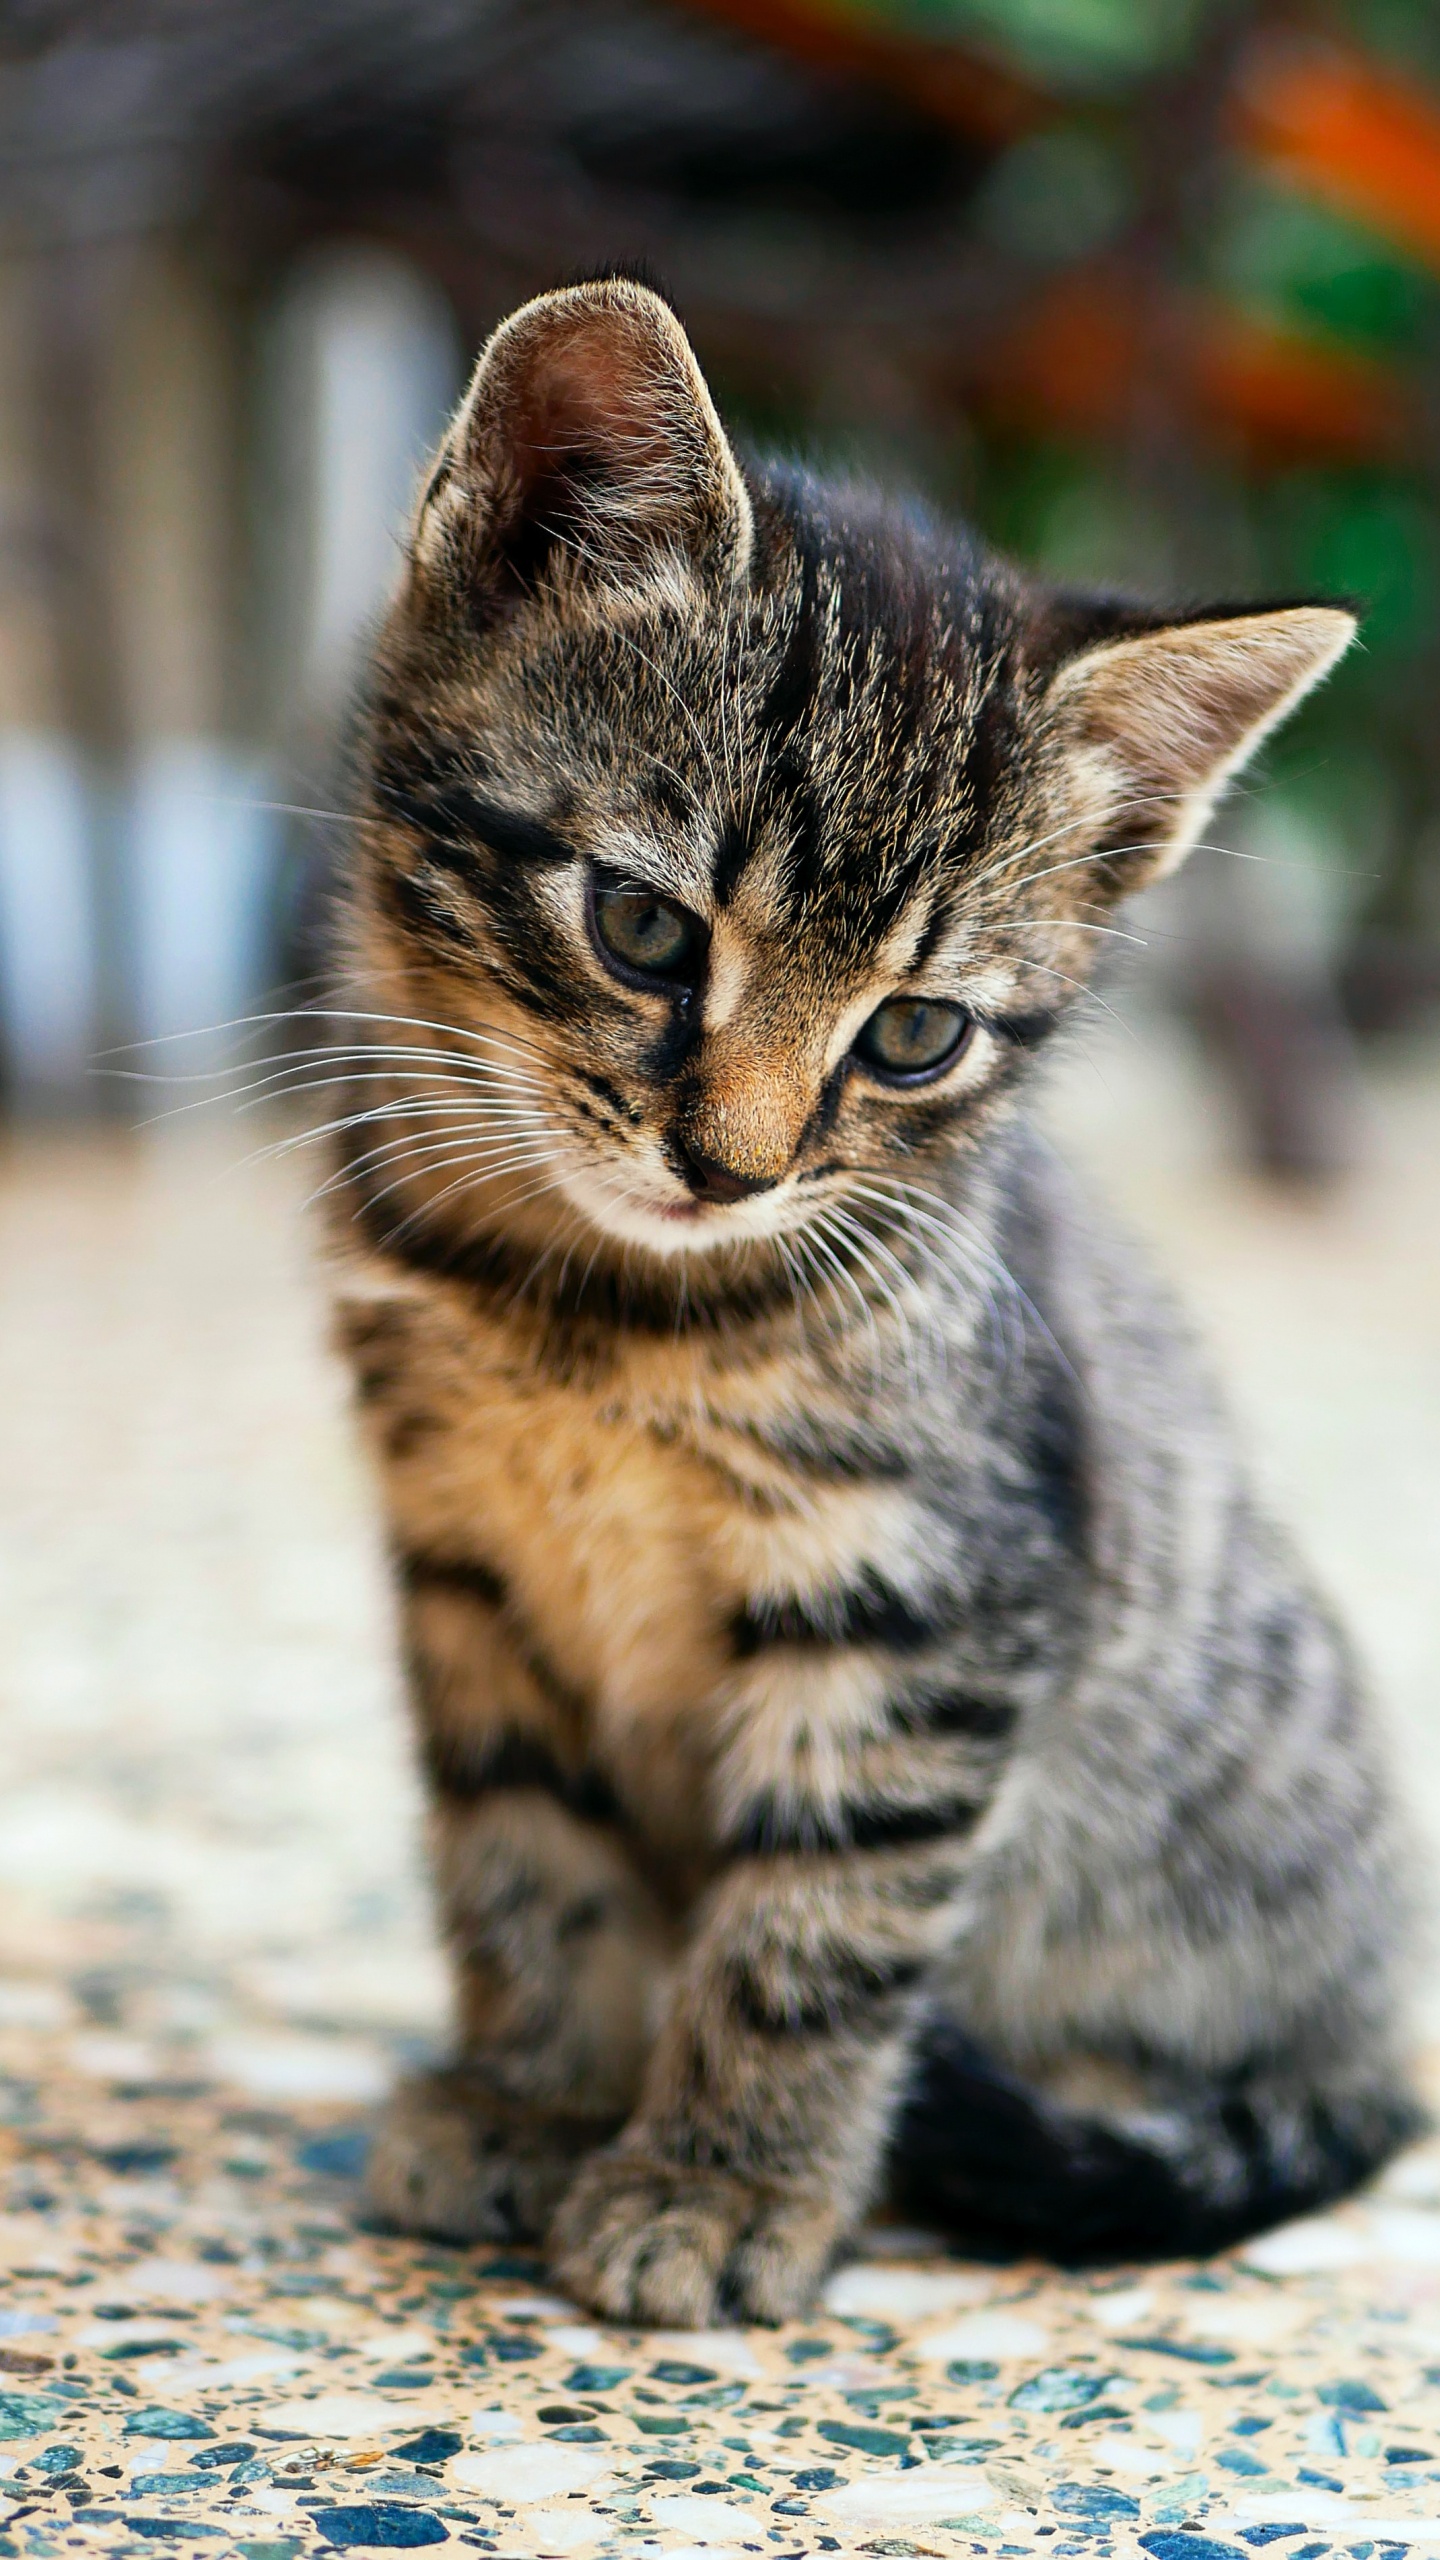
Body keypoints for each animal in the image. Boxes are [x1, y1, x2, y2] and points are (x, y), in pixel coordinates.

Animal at [330, 280, 1414, 2324]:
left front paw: (722, 2181)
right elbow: (522, 1856)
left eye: (915, 1036)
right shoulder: (467, 1569)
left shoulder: (933, 1597)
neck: (599, 1311)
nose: (731, 1168)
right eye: (645, 929)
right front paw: (534, 2096)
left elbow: (819, 1919)